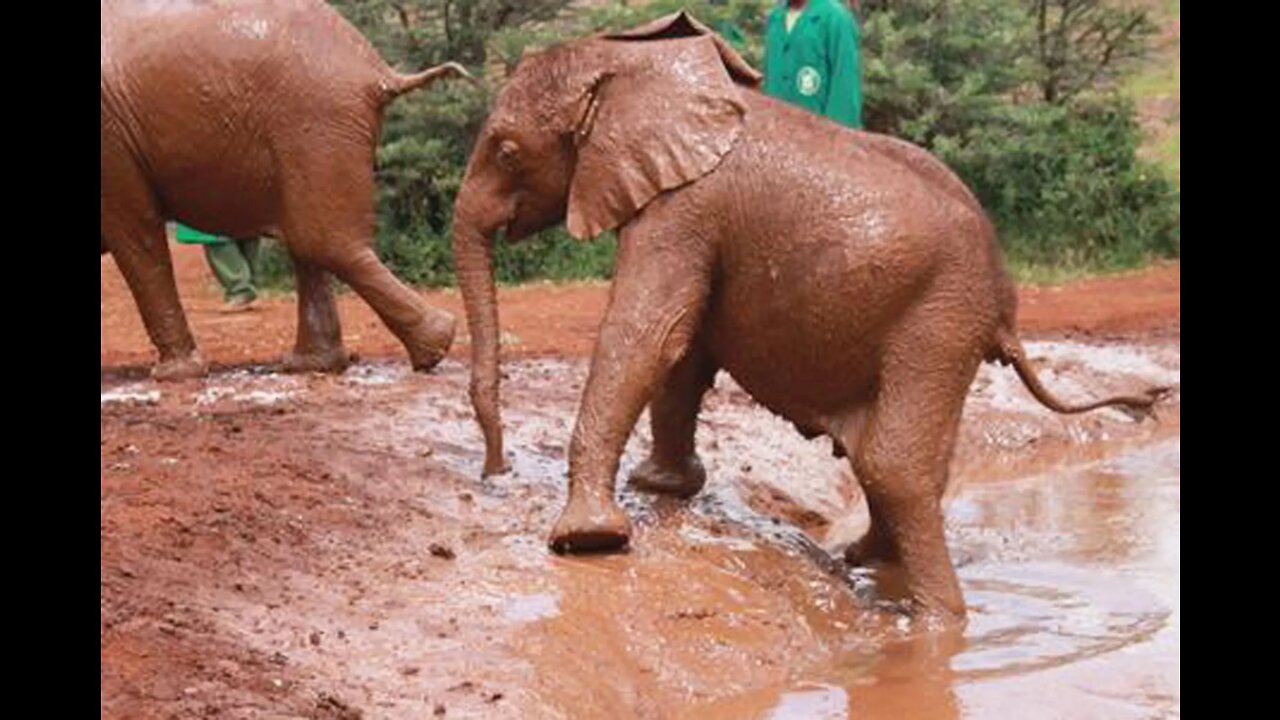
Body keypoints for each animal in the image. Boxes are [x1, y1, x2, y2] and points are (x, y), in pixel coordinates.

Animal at [99, 0, 471, 379]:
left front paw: (174, 375)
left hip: (315, 120)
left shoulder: (110, 140)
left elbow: (136, 232)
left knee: (322, 241)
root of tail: (379, 71)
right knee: (306, 240)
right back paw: (311, 365)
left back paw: (434, 345)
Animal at [448, 9, 1162, 617]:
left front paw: (586, 541)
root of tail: (1007, 302)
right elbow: (683, 350)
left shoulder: (683, 208)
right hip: (944, 328)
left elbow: (652, 333)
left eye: (506, 151)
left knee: (894, 464)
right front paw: (661, 486)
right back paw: (864, 560)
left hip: (938, 319)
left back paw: (930, 626)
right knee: (911, 460)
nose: (494, 469)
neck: (635, 66)